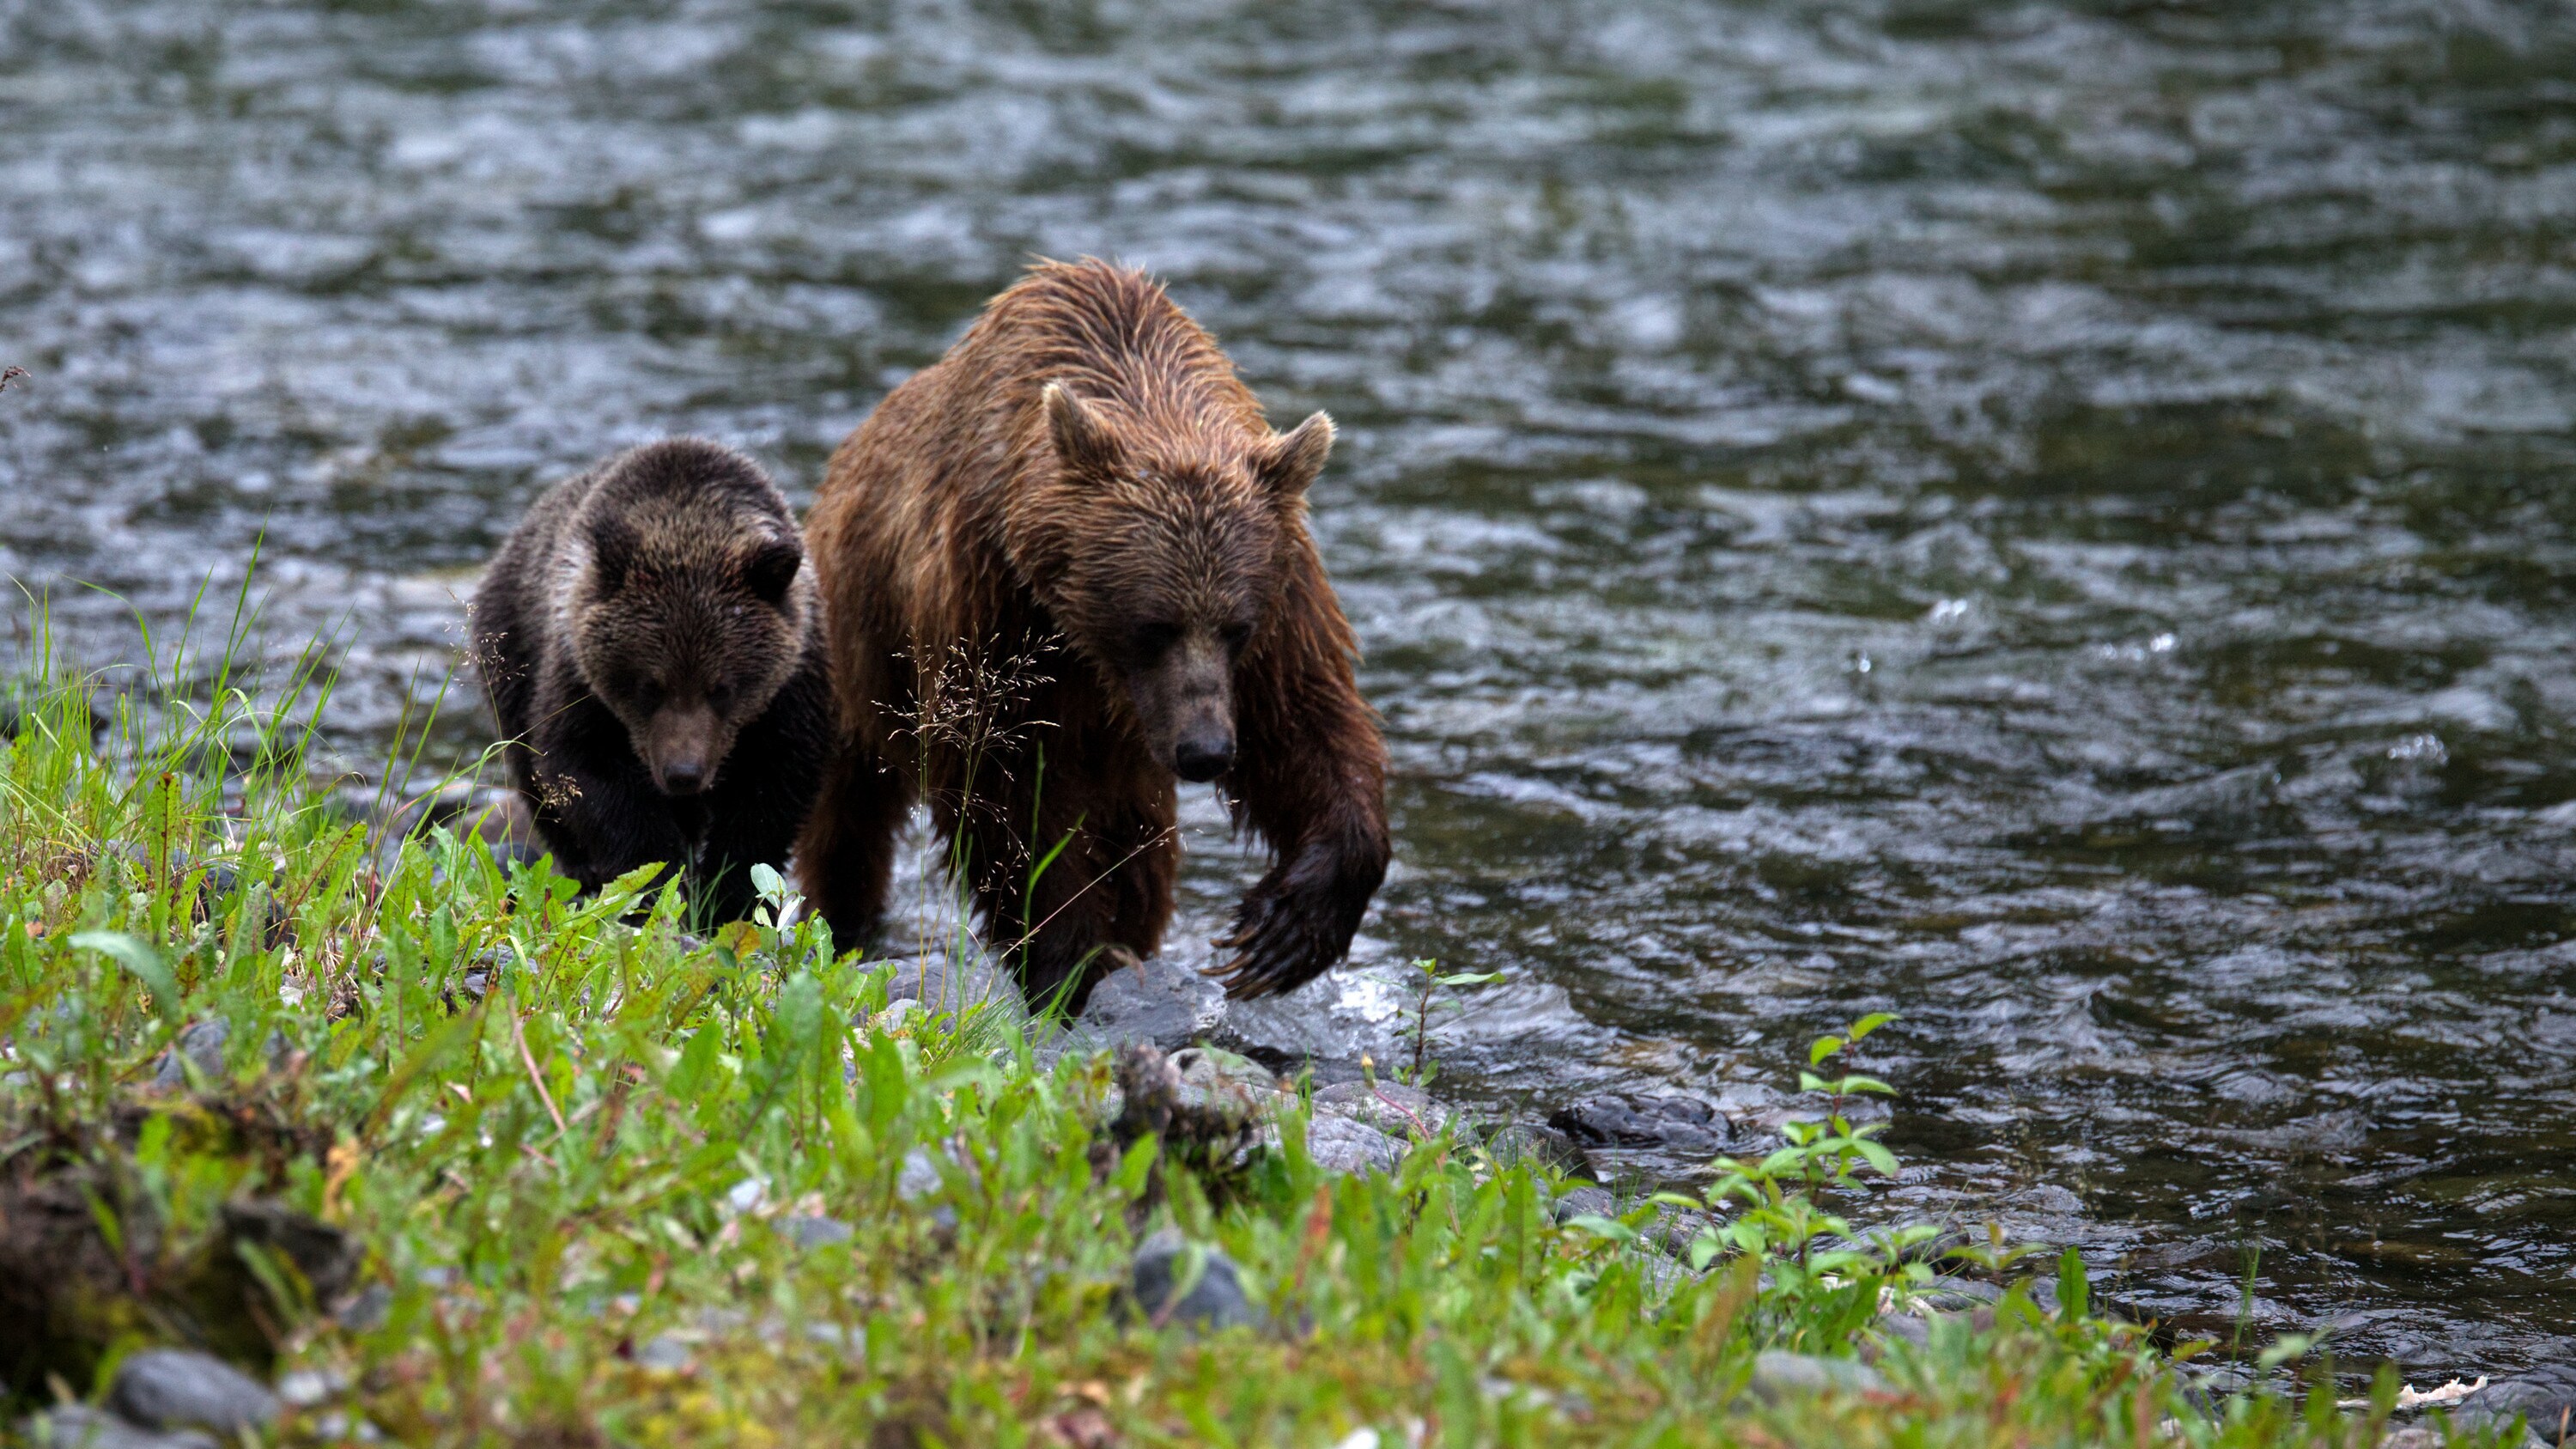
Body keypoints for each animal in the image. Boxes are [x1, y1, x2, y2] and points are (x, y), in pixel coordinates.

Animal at [464, 433, 824, 917]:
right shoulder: (579, 681)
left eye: (722, 687)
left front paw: (725, 895)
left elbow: (771, 793)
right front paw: (657, 884)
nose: (683, 773)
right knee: (531, 777)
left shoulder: (791, 690)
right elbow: (586, 772)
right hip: (511, 652)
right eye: (649, 686)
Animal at [799, 256, 1391, 1005]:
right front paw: (1067, 955)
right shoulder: (992, 602)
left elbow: (1303, 719)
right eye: (1153, 625)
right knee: (847, 815)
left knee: (1139, 845)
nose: (1206, 749)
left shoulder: (1283, 593)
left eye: (1235, 627)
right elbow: (1007, 781)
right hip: (859, 649)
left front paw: (1284, 929)